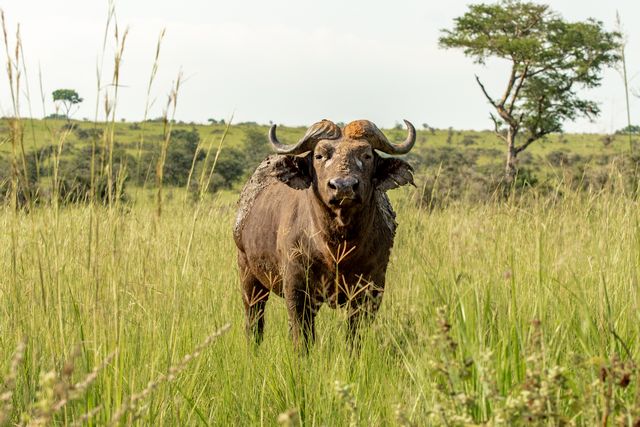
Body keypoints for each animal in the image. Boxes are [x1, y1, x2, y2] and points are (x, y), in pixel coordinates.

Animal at [232, 118, 418, 350]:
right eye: (320, 156)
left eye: (366, 155)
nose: (344, 186)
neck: (337, 246)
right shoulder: (297, 288)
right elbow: (302, 338)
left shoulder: (371, 288)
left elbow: (355, 337)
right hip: (248, 276)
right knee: (254, 321)